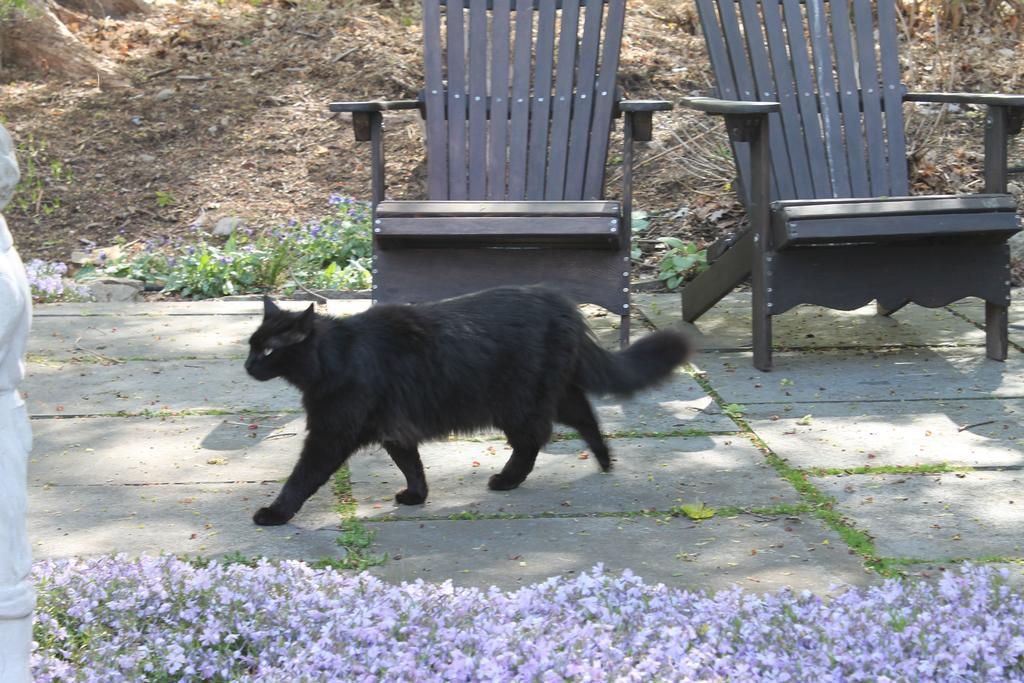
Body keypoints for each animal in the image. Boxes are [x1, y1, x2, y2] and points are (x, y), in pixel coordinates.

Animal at [243, 286, 692, 528]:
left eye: (268, 350)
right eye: (251, 346)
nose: (247, 365)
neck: (340, 354)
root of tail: (557, 301)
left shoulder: (331, 434)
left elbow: (301, 478)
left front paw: (276, 513)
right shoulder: (394, 428)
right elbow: (412, 465)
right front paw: (417, 496)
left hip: (517, 403)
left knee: (533, 441)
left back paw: (507, 480)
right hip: (547, 393)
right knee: (583, 414)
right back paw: (604, 460)